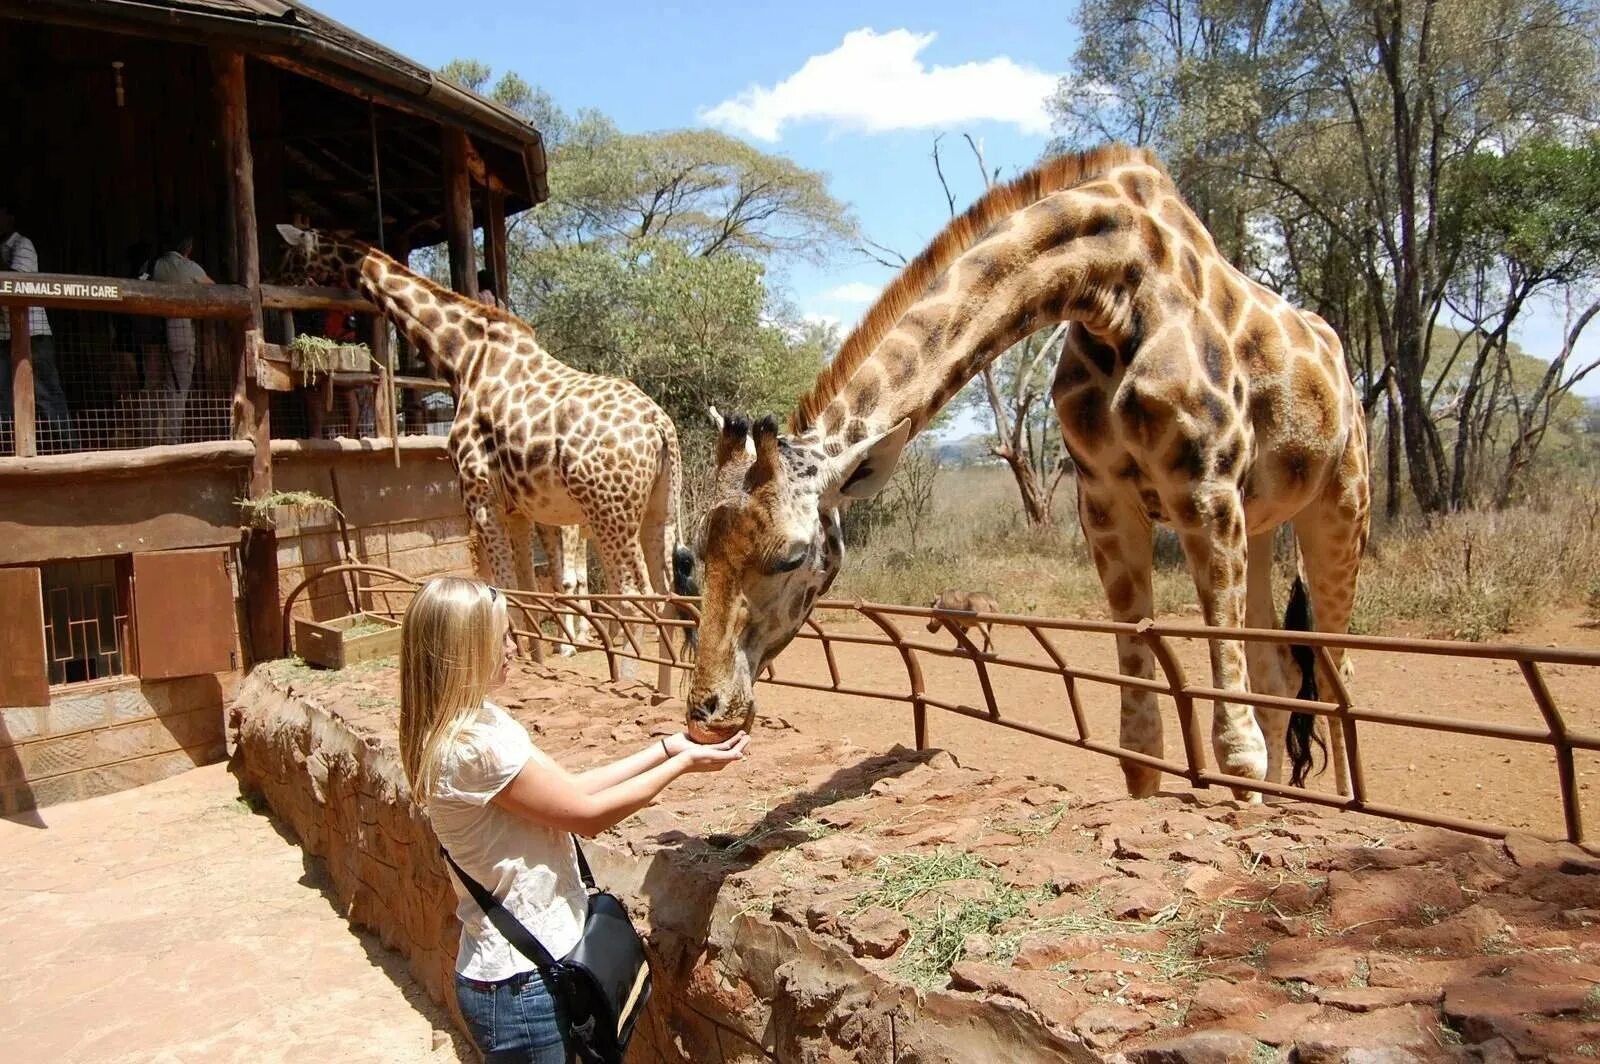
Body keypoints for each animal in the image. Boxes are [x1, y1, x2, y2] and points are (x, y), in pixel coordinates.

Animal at [273, 224, 694, 675]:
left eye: (290, 255)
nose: (280, 288)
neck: (462, 358)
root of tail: (660, 426)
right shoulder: (518, 510)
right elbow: (528, 591)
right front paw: (534, 658)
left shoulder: (478, 498)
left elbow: (504, 589)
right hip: (658, 509)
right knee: (666, 595)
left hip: (608, 511)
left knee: (635, 596)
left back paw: (626, 679)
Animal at [681, 145, 1369, 800]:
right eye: (698, 551)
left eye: (794, 556)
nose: (707, 713)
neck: (1114, 287)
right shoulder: (1105, 503)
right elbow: (1139, 740)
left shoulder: (1206, 489)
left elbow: (1237, 741)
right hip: (1263, 521)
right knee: (1280, 666)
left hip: (1339, 506)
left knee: (1340, 674)